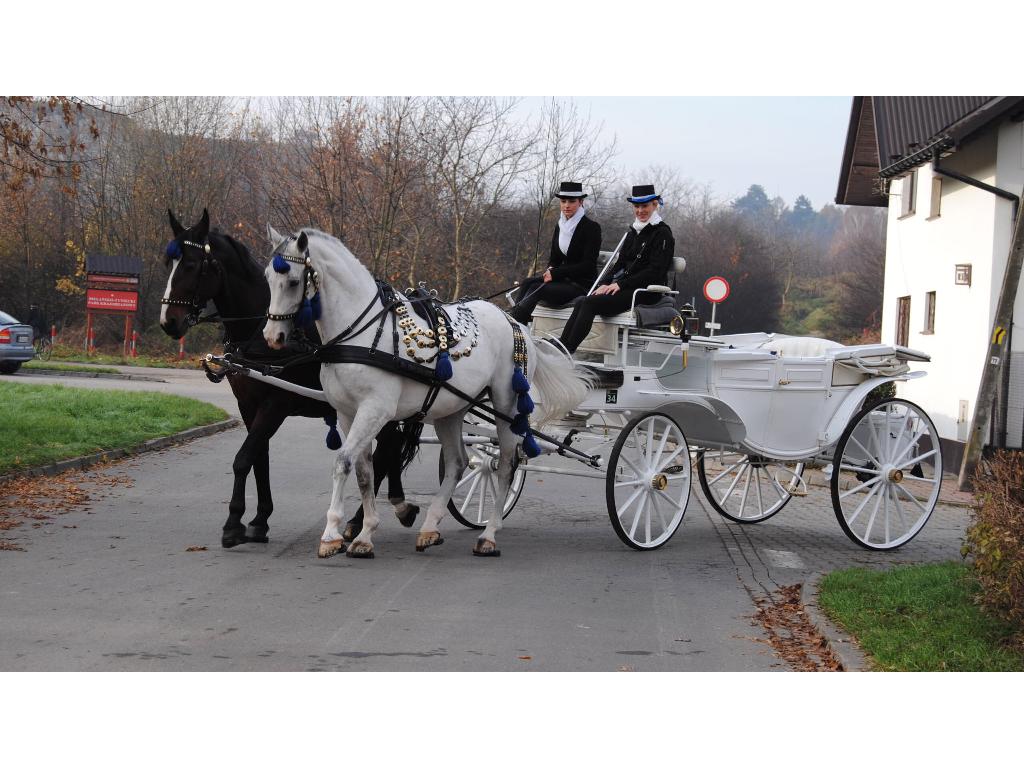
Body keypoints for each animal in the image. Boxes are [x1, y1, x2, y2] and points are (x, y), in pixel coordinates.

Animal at [159, 208, 415, 548]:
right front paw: (258, 520)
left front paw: (233, 523)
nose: (169, 322)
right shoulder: (248, 406)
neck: (256, 332)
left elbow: (243, 458)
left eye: (190, 265)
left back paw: (364, 518)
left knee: (386, 451)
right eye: (169, 263)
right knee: (388, 449)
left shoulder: (275, 406)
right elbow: (259, 458)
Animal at [262, 228, 593, 561]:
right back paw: (430, 528)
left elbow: (343, 462)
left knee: (506, 464)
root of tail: (514, 322)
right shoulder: (347, 413)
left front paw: (332, 534)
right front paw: (364, 533)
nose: (272, 337)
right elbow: (364, 471)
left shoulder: (375, 410)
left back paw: (488, 535)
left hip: (507, 405)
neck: (362, 334)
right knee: (458, 462)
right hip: (453, 409)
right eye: (267, 277)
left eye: (293, 281)